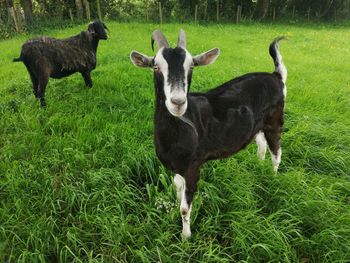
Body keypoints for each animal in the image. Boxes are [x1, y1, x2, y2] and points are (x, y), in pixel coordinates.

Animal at [131, 30, 288, 239]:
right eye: (155, 66)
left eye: (191, 66)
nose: (178, 102)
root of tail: (276, 76)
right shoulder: (176, 166)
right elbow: (177, 188)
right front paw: (173, 214)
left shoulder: (193, 167)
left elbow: (185, 208)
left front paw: (185, 237)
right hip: (258, 125)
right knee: (261, 144)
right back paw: (258, 166)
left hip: (274, 121)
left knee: (276, 152)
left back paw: (272, 177)